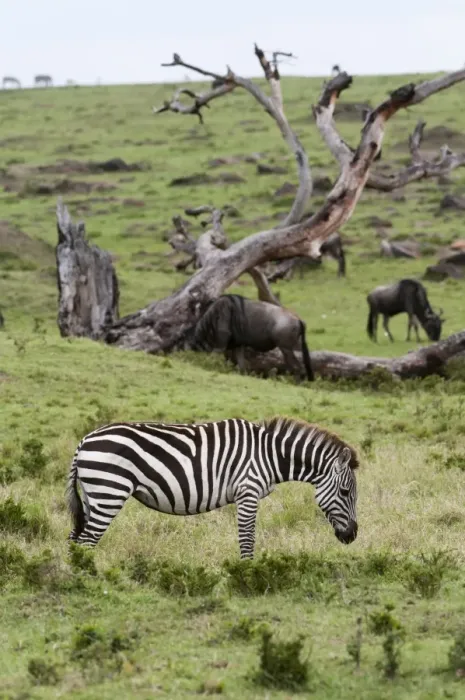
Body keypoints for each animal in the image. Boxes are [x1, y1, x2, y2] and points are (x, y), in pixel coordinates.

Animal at [67, 416, 359, 558]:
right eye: (345, 493)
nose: (352, 536)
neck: (269, 454)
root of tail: (84, 440)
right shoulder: (248, 491)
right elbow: (247, 538)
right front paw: (247, 573)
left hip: (94, 497)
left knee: (76, 540)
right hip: (109, 492)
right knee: (87, 541)